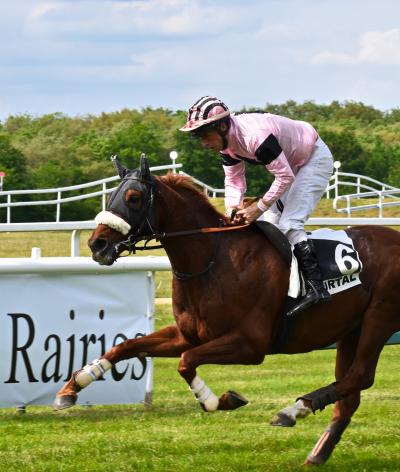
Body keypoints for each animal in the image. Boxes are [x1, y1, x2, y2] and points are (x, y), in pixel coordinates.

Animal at [53, 155, 400, 464]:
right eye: (111, 195)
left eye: (134, 198)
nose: (97, 245)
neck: (213, 259)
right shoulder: (187, 334)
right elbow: (126, 346)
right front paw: (72, 387)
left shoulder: (250, 344)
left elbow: (185, 362)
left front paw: (218, 400)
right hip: (351, 330)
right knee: (350, 392)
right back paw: (316, 453)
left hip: (379, 318)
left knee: (359, 376)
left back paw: (292, 411)